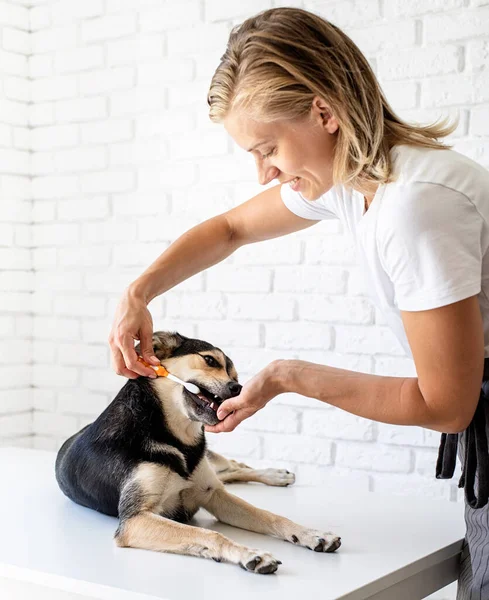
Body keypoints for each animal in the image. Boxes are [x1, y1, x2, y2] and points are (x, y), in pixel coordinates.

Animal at [54, 330, 340, 576]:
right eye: (210, 360)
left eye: (235, 375)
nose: (238, 388)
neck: (177, 438)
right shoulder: (135, 519)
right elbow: (210, 534)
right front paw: (250, 554)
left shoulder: (212, 494)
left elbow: (271, 515)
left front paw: (313, 534)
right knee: (231, 471)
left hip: (212, 468)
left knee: (232, 467)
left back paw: (276, 475)